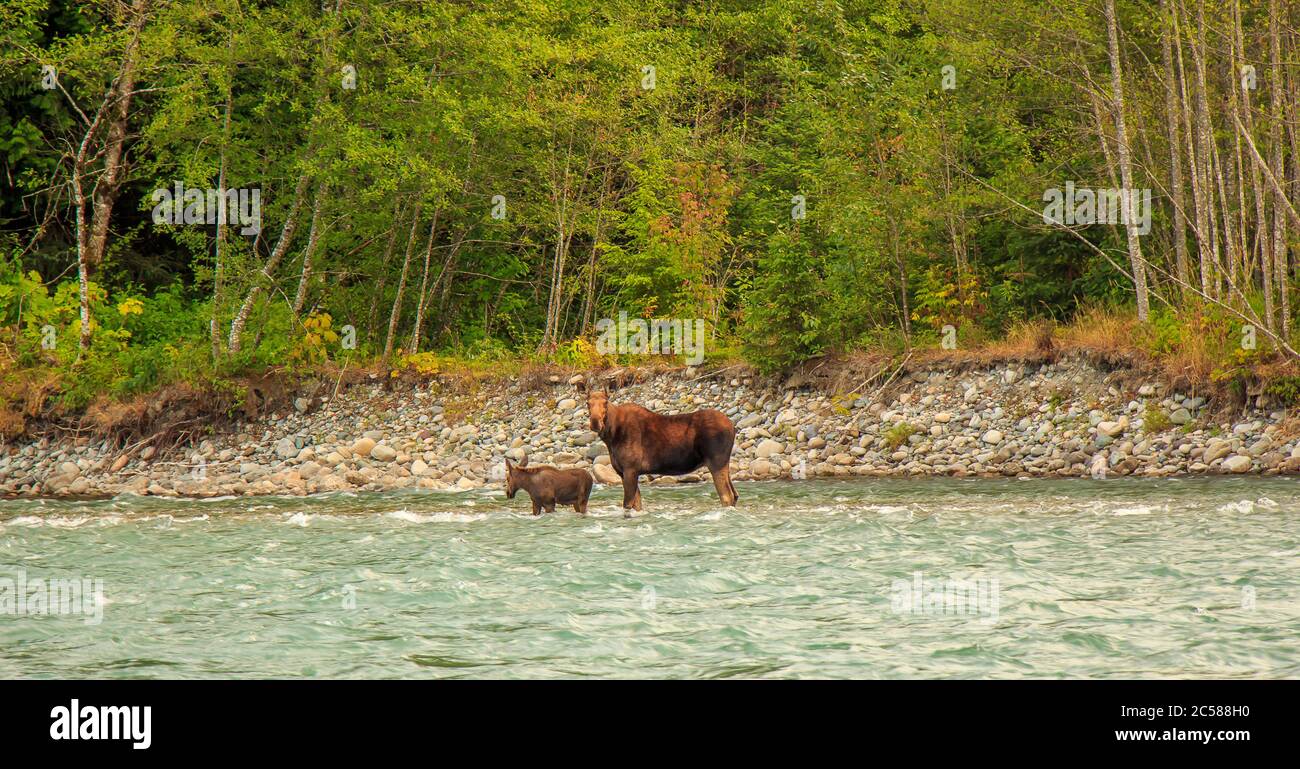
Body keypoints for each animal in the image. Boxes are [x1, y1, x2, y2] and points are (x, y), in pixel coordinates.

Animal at [587, 384, 738, 516]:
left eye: (605, 403)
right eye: (588, 403)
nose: (595, 422)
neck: (611, 436)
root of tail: (732, 426)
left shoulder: (630, 469)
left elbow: (627, 505)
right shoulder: (623, 472)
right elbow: (637, 504)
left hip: (716, 463)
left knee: (726, 496)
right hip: (724, 463)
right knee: (735, 495)